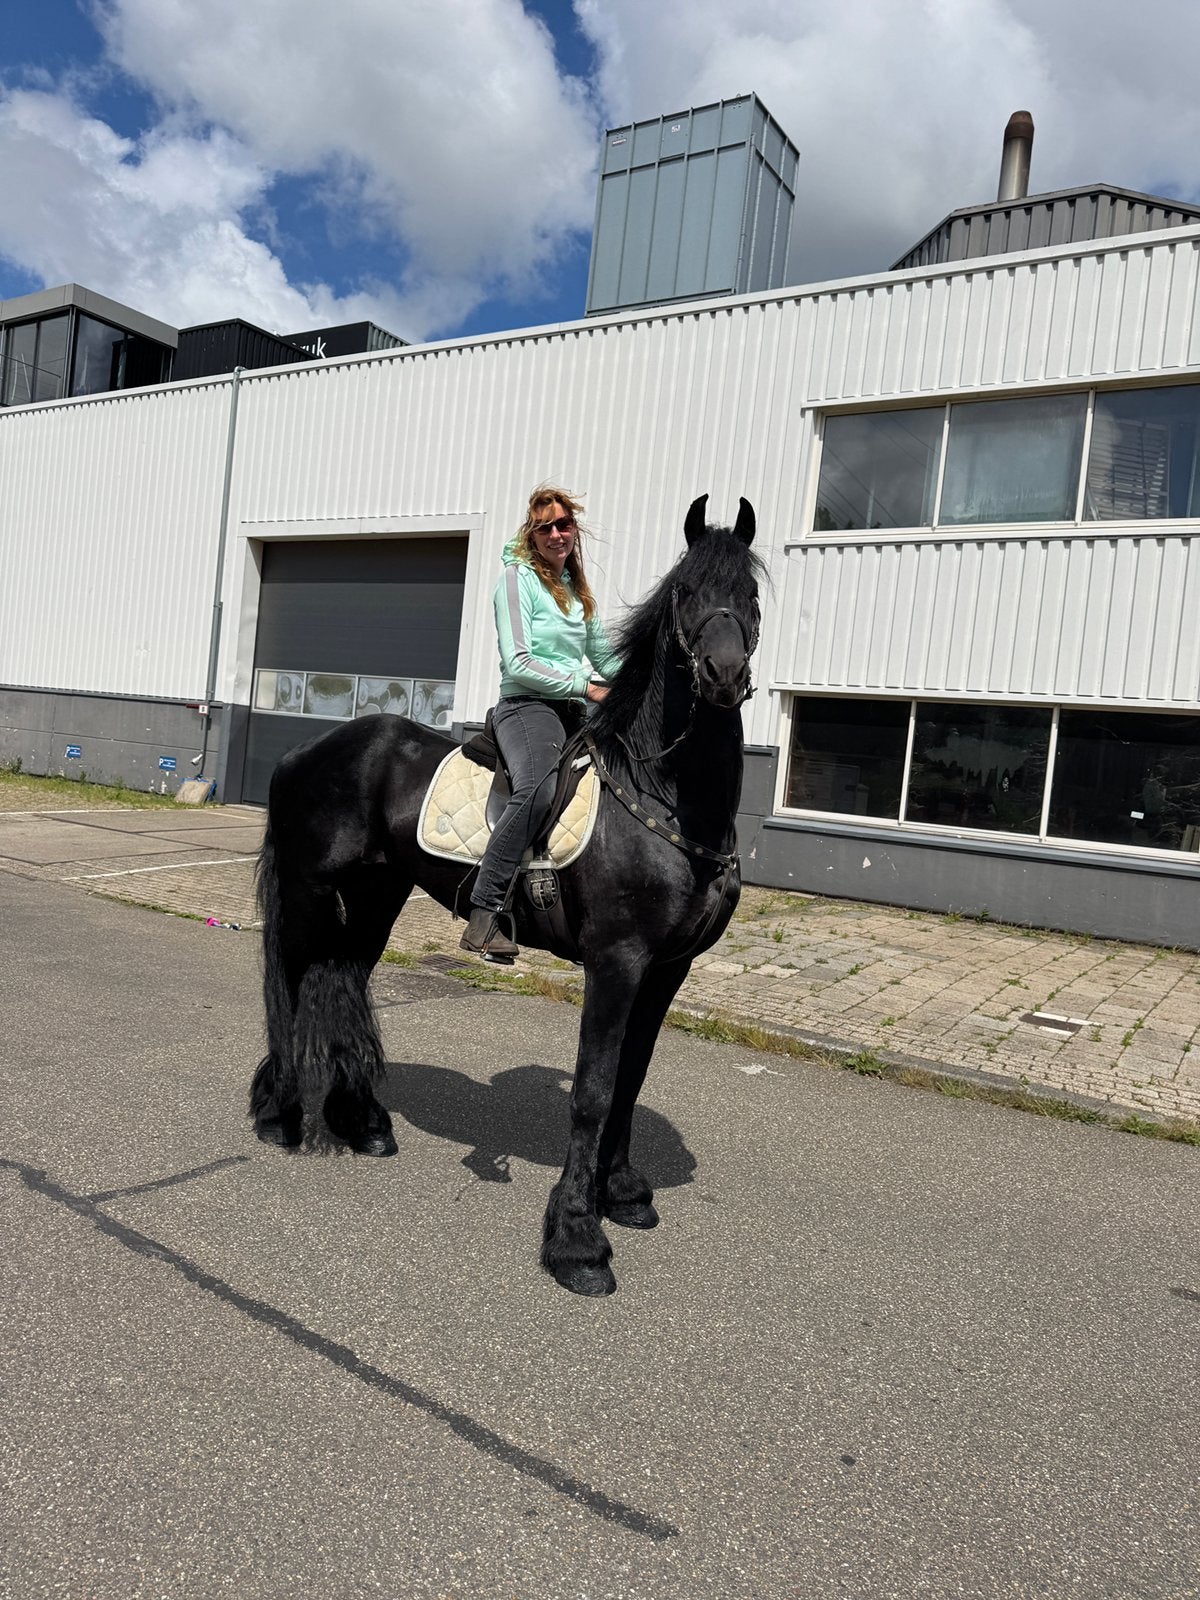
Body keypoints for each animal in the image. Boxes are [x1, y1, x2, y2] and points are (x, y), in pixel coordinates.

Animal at [250, 494, 764, 1295]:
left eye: (751, 593)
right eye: (685, 591)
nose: (722, 672)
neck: (668, 798)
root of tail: (309, 749)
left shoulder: (666, 969)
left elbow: (631, 1079)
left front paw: (622, 1194)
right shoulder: (617, 962)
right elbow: (593, 1091)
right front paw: (578, 1241)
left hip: (376, 896)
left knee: (343, 979)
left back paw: (363, 1123)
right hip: (309, 891)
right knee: (290, 978)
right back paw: (279, 1114)